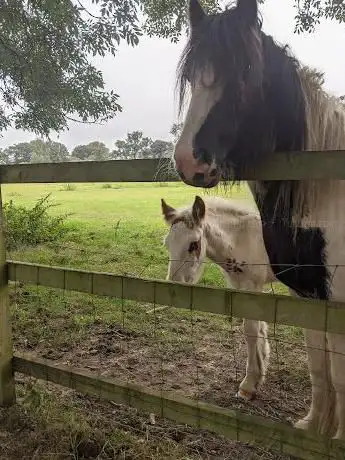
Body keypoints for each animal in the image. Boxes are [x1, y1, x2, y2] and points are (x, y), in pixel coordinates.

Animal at [173, 0, 344, 440]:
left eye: (245, 71)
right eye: (191, 76)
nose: (190, 162)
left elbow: (337, 371)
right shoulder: (308, 295)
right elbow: (319, 366)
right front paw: (313, 427)